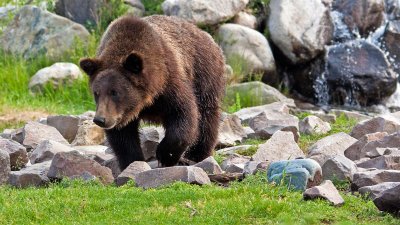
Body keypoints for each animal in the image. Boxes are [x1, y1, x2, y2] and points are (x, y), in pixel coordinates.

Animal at [79, 15, 227, 170]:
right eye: (96, 93)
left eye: (115, 92)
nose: (100, 119)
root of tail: (205, 34)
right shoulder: (122, 114)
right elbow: (123, 137)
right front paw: (133, 162)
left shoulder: (169, 82)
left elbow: (184, 114)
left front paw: (165, 155)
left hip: (204, 72)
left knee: (207, 115)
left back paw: (196, 155)